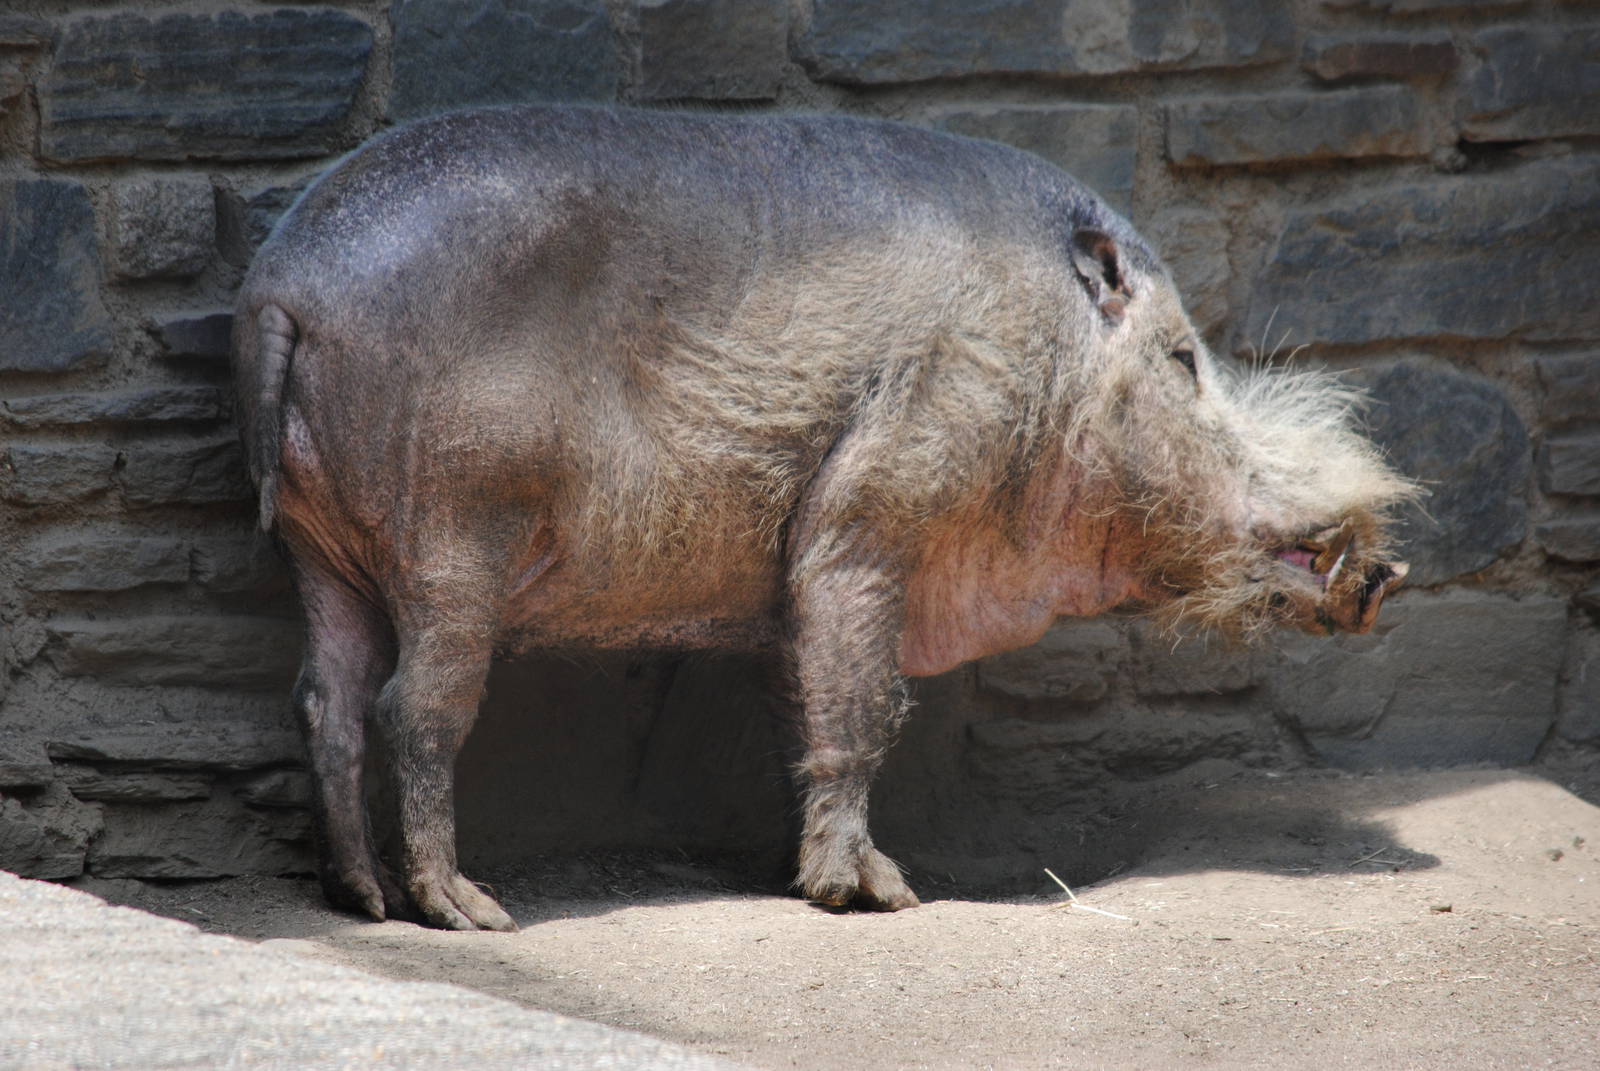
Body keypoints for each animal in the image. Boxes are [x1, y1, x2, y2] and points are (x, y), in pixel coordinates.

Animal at [233, 105, 1415, 931]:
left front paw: (806, 876)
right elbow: (868, 702)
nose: (1385, 574)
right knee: (412, 707)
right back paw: (472, 913)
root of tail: (283, 287)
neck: (1052, 372)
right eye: (1182, 361)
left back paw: (362, 900)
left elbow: (804, 705)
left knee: (323, 699)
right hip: (454, 526)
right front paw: (888, 897)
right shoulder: (878, 502)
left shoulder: (791, 577)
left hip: (319, 546)